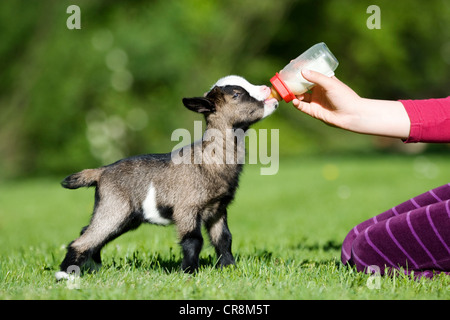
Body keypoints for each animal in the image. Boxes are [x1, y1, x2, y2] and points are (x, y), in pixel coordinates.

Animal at [55, 75, 278, 280]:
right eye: (236, 94)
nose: (267, 88)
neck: (208, 158)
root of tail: (102, 171)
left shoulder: (217, 209)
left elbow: (224, 239)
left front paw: (229, 268)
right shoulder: (186, 208)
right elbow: (193, 241)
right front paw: (189, 272)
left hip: (126, 216)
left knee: (89, 231)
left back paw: (93, 266)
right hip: (114, 207)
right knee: (86, 238)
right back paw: (66, 275)